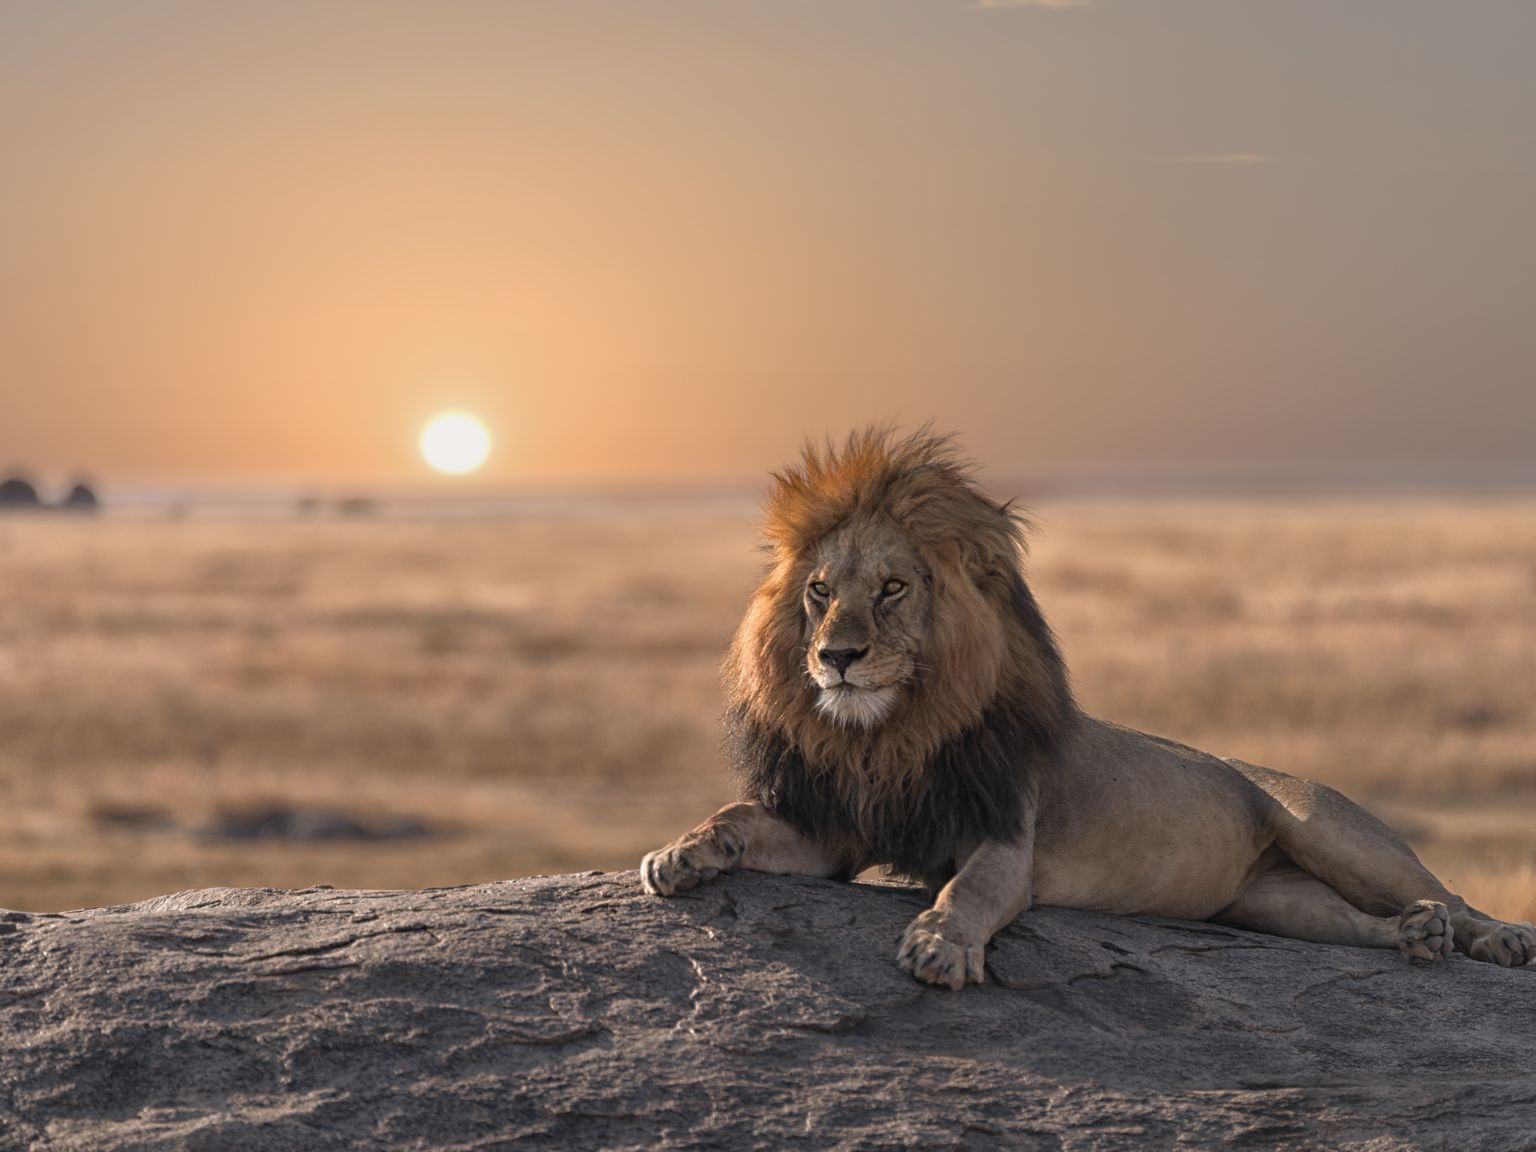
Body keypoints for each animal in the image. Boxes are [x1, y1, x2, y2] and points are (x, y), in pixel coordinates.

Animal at [640, 428, 1536, 988]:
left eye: (892, 589)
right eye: (821, 592)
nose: (836, 657)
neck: (891, 734)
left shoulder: (1006, 837)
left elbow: (967, 893)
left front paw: (938, 946)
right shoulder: (836, 829)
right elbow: (738, 817)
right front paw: (680, 854)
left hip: (1333, 832)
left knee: (1449, 894)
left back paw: (1495, 936)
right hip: (1274, 902)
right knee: (1359, 925)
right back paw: (1413, 937)